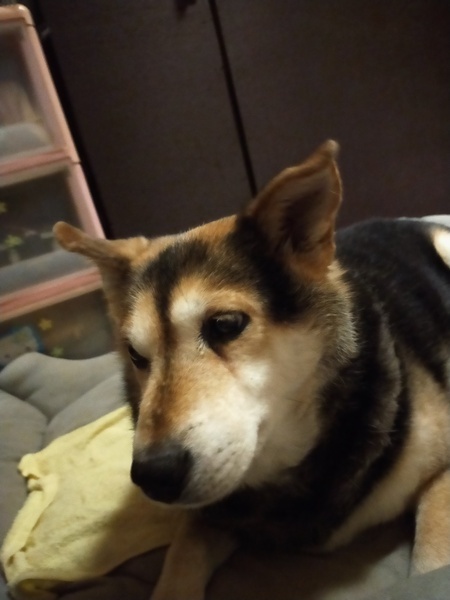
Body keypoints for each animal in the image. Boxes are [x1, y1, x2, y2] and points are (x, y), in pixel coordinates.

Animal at [54, 141, 450, 599]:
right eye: (136, 355)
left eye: (226, 324)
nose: (154, 476)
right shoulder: (206, 514)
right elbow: (179, 561)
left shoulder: (443, 473)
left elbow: (430, 569)